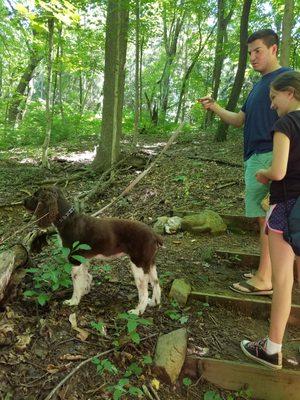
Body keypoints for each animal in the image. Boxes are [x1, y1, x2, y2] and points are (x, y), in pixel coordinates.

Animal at [23, 186, 163, 314]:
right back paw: (154, 303)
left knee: (144, 291)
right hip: (150, 262)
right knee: (156, 283)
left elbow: (76, 283)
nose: (22, 201)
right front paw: (84, 292)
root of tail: (153, 234)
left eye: (36, 195)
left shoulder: (75, 261)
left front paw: (73, 301)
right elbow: (85, 277)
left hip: (138, 265)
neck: (67, 220)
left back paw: (137, 311)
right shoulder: (83, 260)